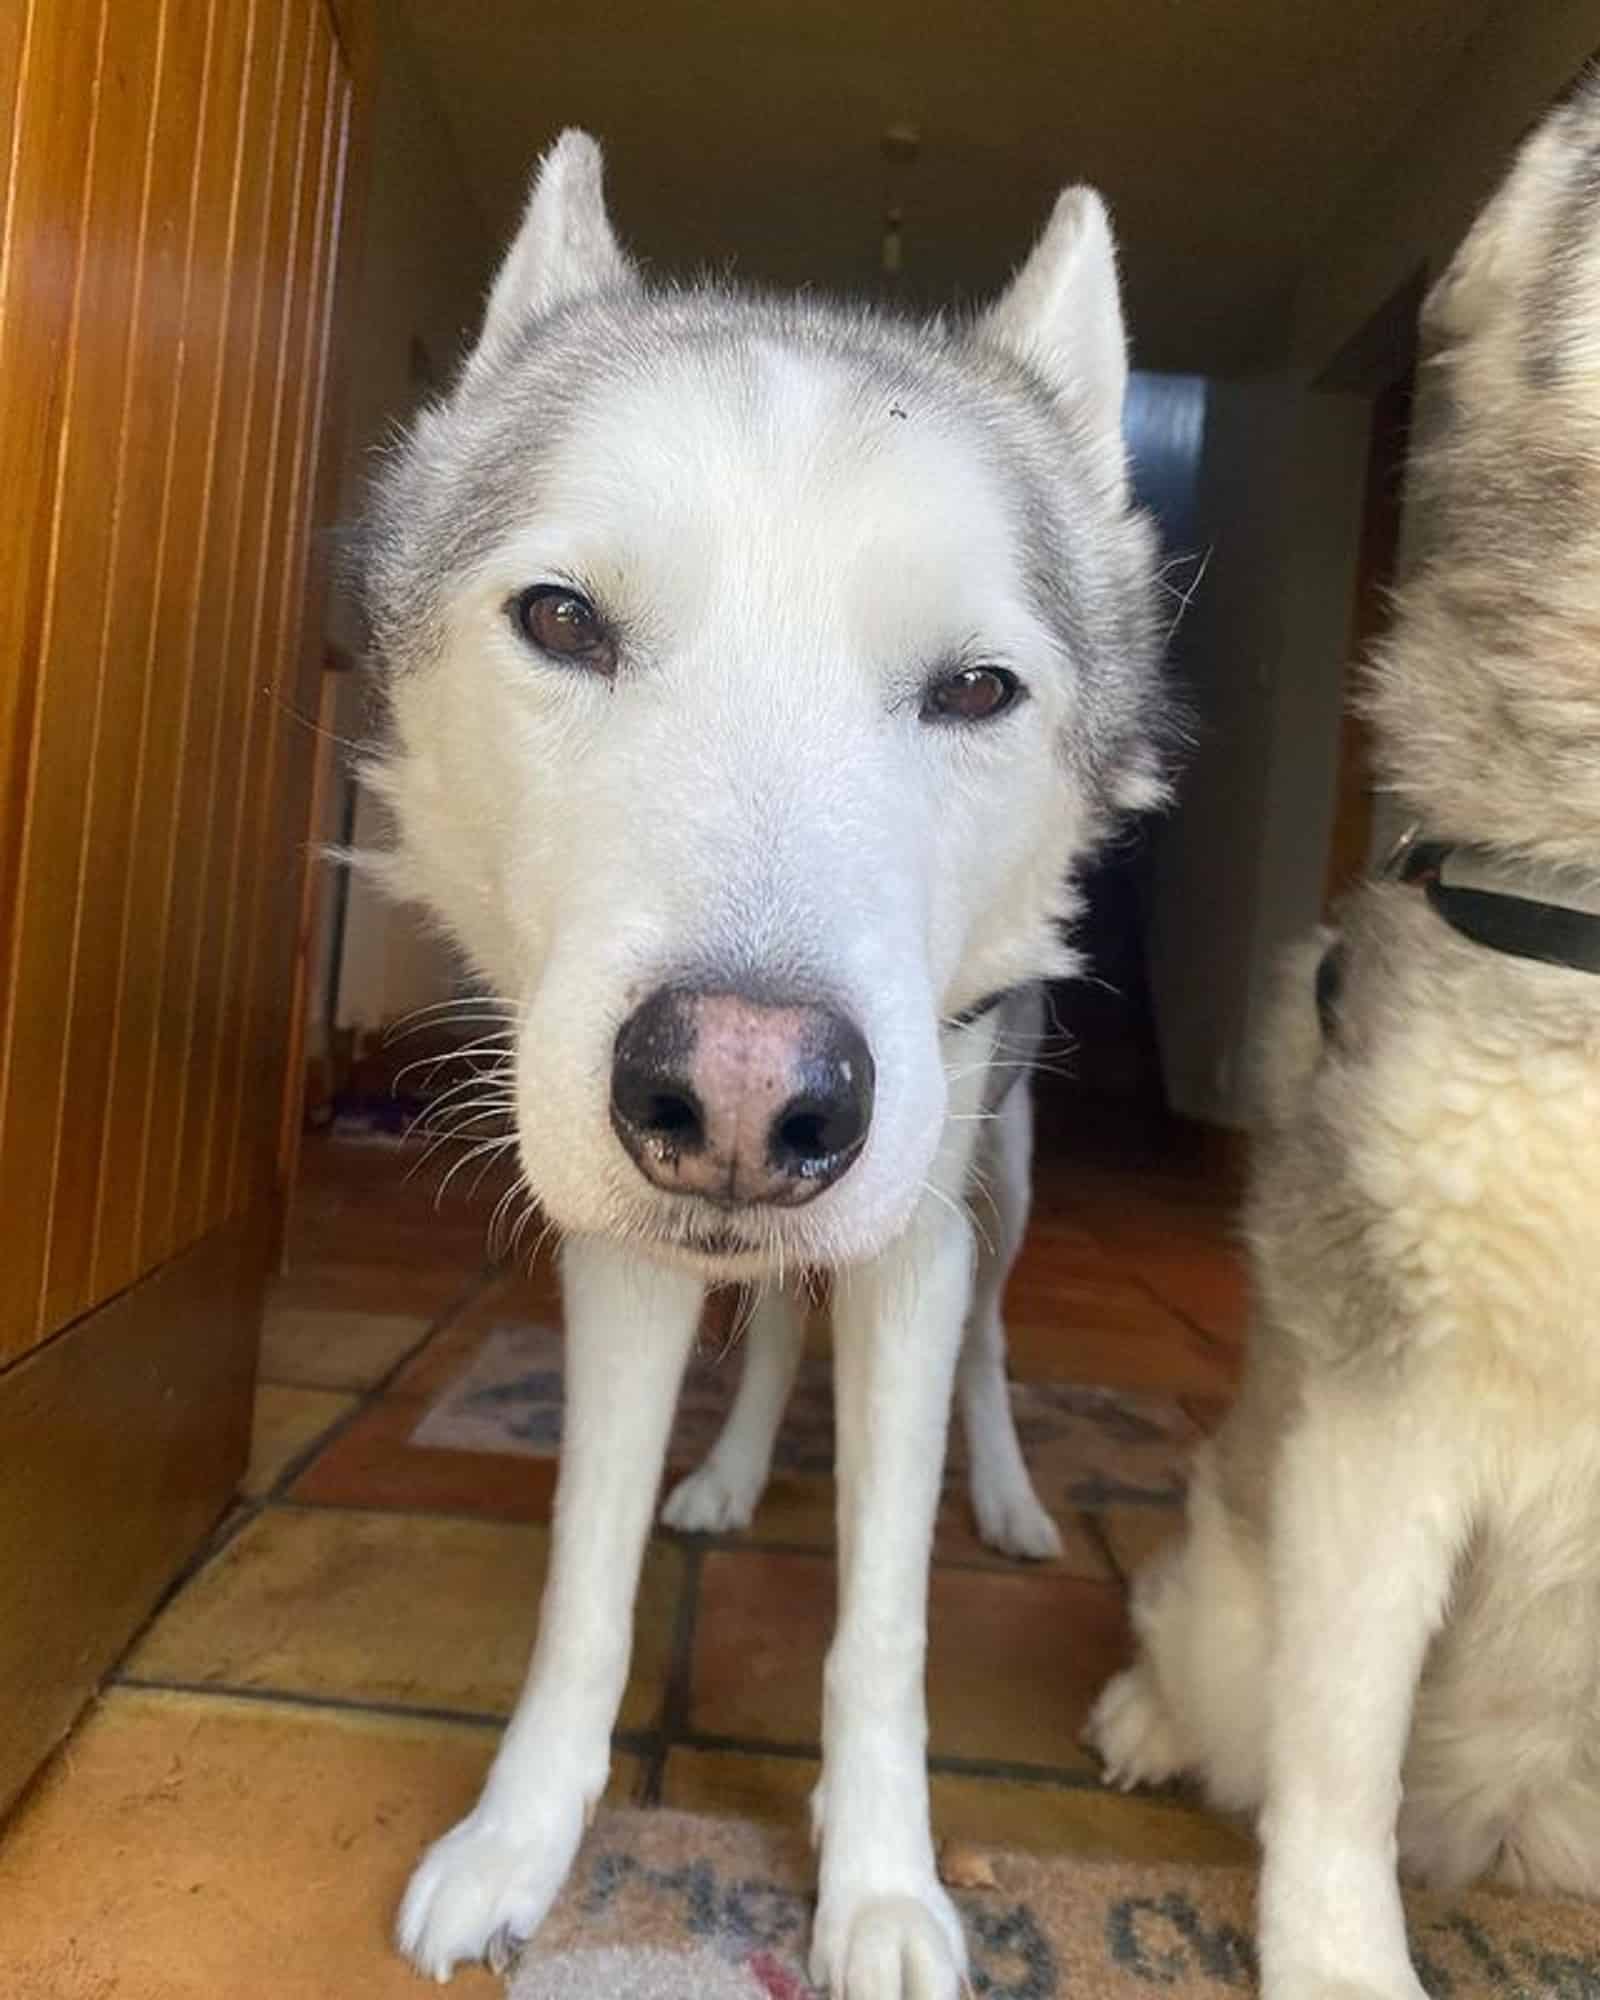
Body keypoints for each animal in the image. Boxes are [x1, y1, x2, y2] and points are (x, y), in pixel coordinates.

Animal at [366, 133, 1160, 1992]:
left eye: (976, 690)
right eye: (563, 620)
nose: (741, 1095)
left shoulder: (914, 1245)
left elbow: (883, 1625)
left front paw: (880, 1893)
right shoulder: (616, 1254)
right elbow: (583, 1577)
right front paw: (521, 1841)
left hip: (996, 1185)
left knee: (989, 1347)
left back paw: (1010, 1498)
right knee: (777, 1333)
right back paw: (728, 1477)